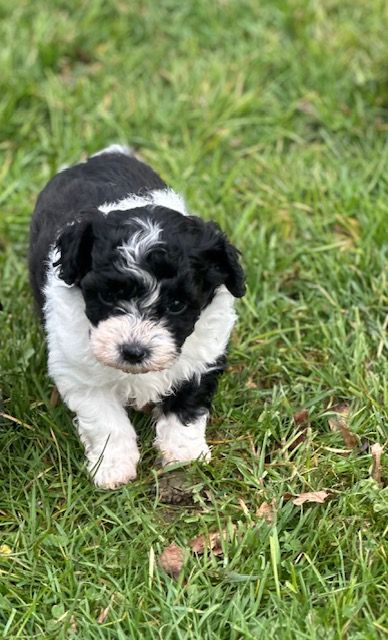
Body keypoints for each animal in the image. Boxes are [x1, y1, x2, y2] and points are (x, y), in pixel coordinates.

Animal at [28, 144, 244, 484]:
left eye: (177, 305)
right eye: (107, 295)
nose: (133, 351)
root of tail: (102, 155)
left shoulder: (203, 354)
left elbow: (187, 404)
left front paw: (184, 454)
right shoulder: (79, 371)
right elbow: (106, 420)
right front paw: (113, 466)